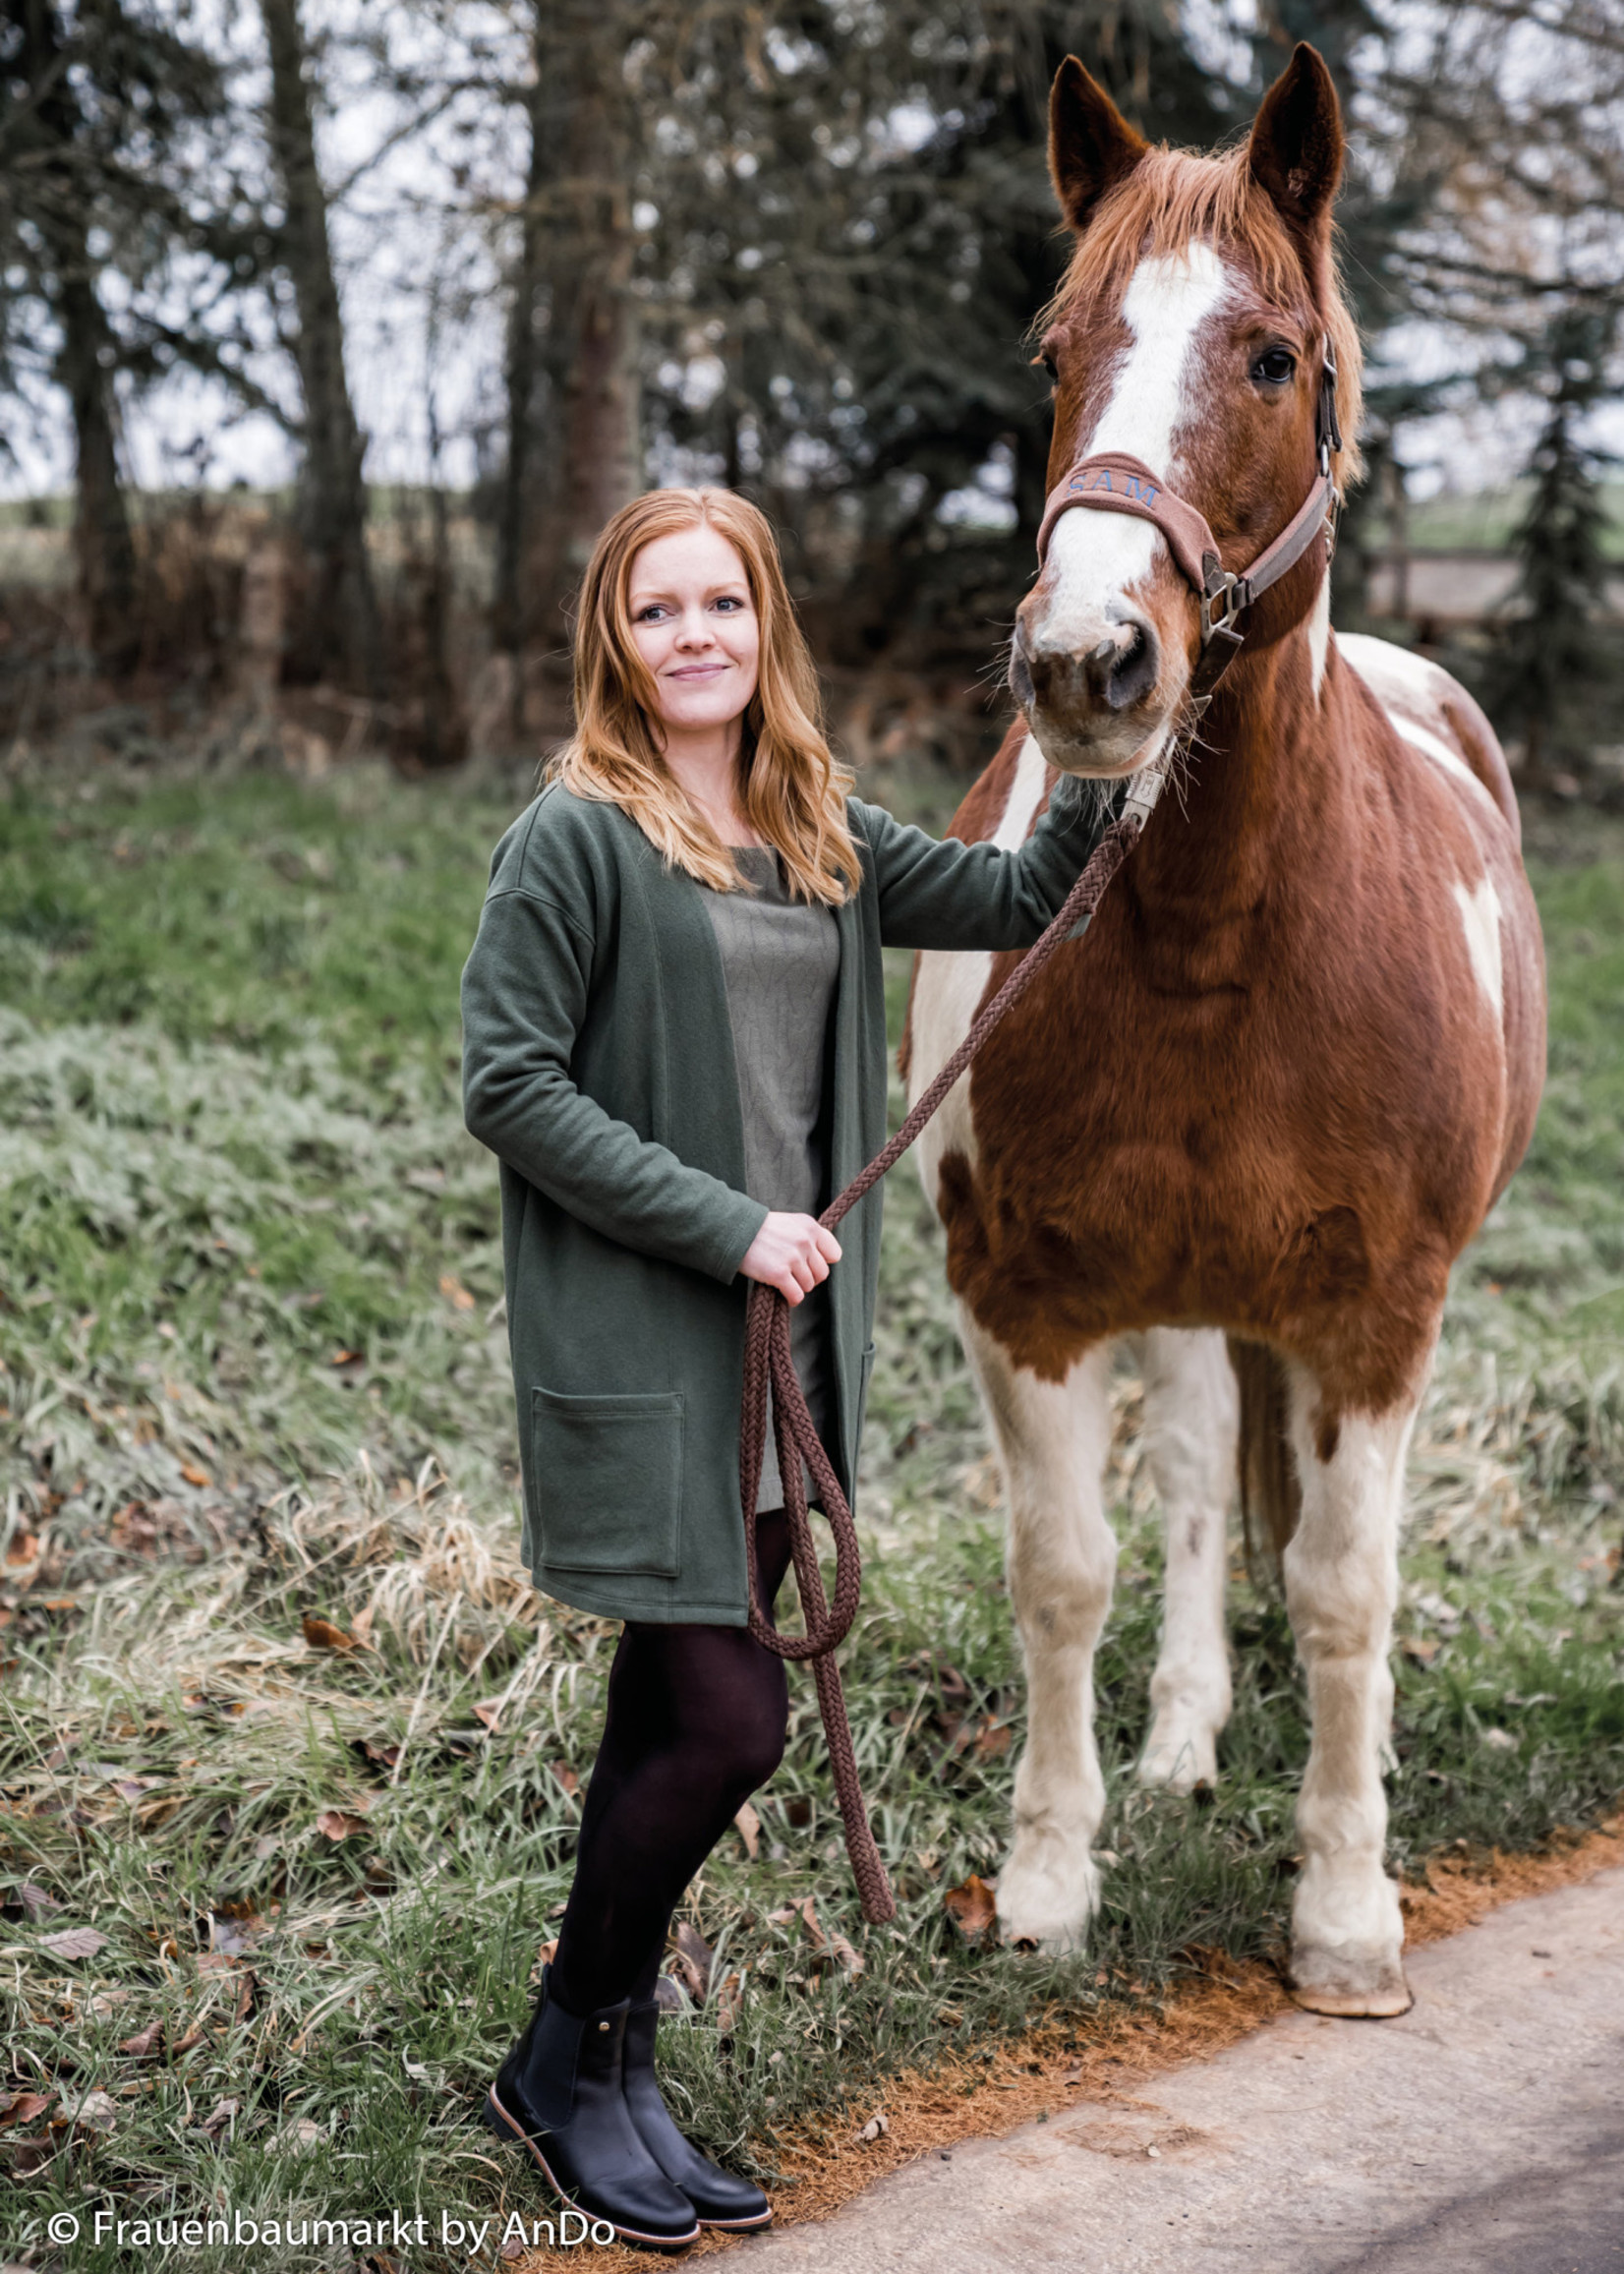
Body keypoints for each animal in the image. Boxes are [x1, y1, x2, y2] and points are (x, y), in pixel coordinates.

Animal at [896, 44, 1546, 2018]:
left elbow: (1343, 1587)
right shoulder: (1024, 1299)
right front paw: (1047, 1878)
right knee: (1190, 1480)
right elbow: (1065, 1570)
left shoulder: (1376, 1312)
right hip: (1182, 1298)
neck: (1210, 932)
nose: (1087, 661)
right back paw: (1182, 1739)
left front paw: (1344, 1906)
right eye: (1056, 354)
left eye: (1271, 356)